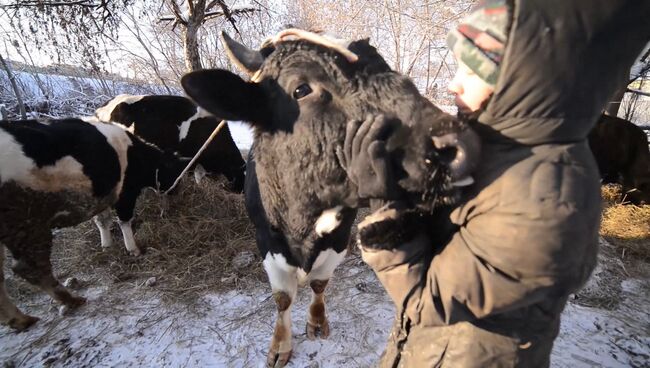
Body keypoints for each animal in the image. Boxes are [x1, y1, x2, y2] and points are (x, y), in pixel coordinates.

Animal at [0, 118, 189, 330]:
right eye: (174, 171)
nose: (177, 192)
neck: (135, 152)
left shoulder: (102, 195)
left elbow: (102, 220)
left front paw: (106, 245)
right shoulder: (125, 193)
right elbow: (124, 221)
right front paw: (133, 249)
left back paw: (21, 319)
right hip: (26, 223)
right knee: (30, 268)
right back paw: (70, 300)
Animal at [180, 29, 478, 368]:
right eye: (301, 89)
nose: (455, 144)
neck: (302, 223)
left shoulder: (340, 237)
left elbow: (319, 284)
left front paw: (317, 321)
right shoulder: (265, 240)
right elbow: (283, 298)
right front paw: (280, 345)